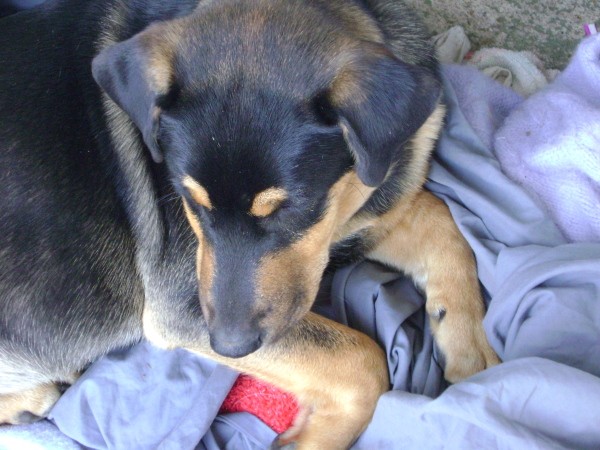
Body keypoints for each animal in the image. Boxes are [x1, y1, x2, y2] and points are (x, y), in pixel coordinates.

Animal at [0, 0, 496, 446]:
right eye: (189, 201)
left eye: (290, 209)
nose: (228, 348)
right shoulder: (179, 307)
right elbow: (360, 358)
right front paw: (310, 440)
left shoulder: (363, 216)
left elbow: (441, 221)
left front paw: (473, 358)